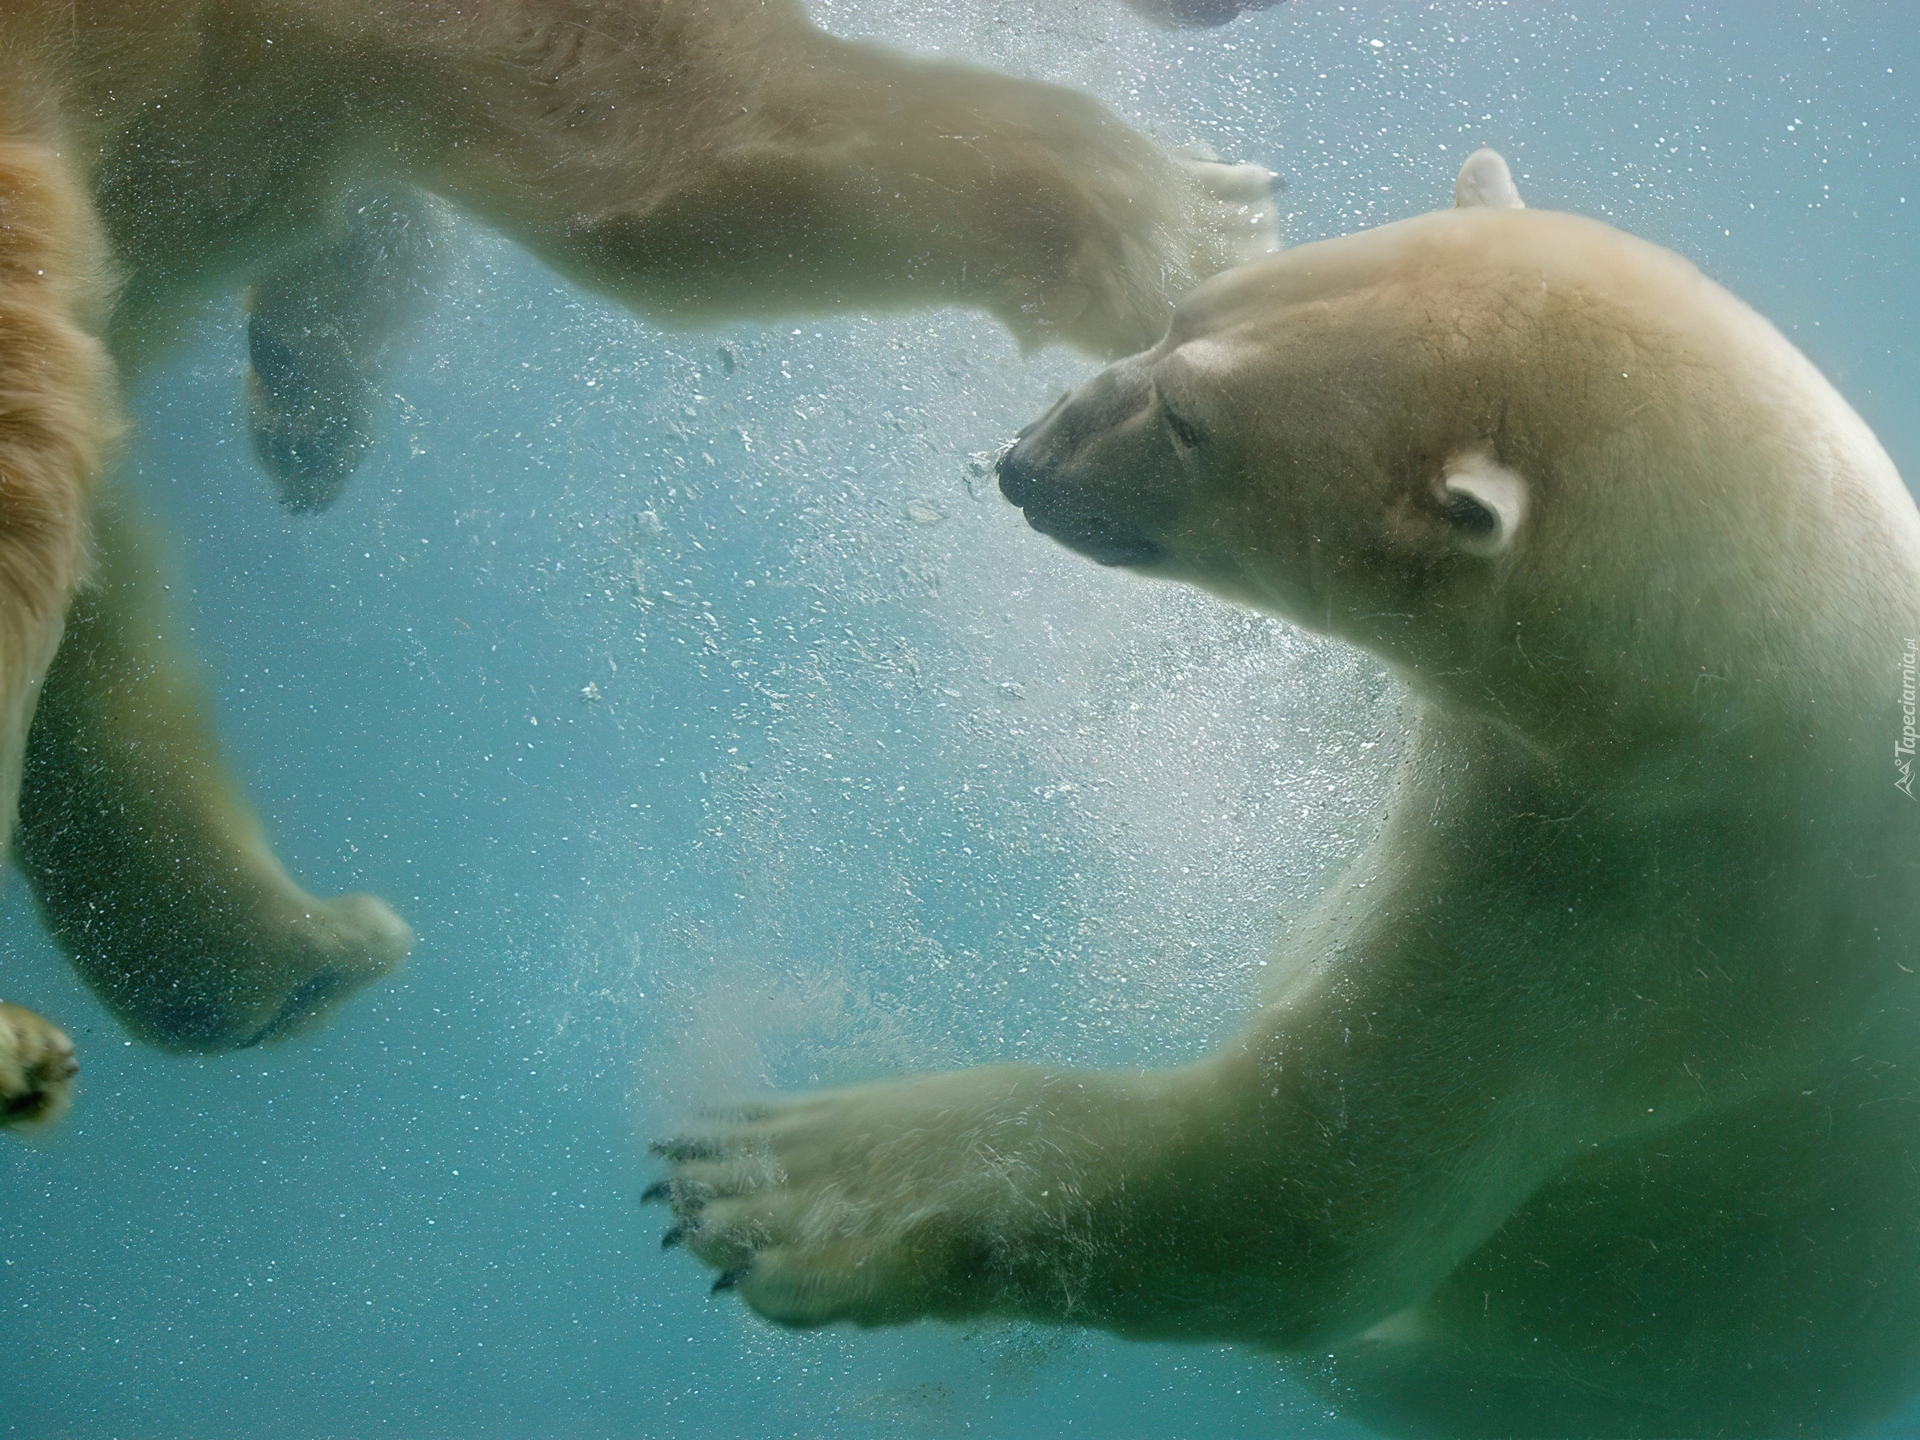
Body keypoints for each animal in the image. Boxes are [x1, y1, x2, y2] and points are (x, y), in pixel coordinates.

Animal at [656, 149, 1920, 1440]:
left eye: (1188, 424)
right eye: (1175, 316)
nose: (1022, 462)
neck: (1710, 694)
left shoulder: (1634, 928)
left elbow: (1302, 1205)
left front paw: (779, 1183)